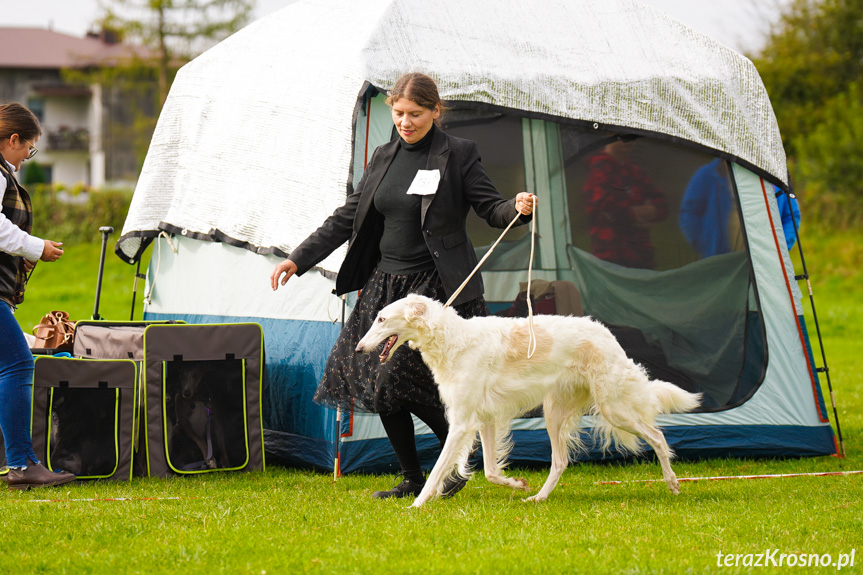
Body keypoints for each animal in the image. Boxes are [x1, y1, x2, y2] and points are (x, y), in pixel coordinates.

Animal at [358, 294, 704, 506]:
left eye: (382, 319)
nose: (359, 349)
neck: (454, 339)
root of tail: (606, 332)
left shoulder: (462, 422)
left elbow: (439, 470)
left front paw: (416, 505)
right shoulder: (485, 418)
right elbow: (490, 471)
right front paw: (518, 484)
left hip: (613, 407)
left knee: (657, 436)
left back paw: (673, 483)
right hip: (555, 413)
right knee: (561, 461)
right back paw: (537, 498)